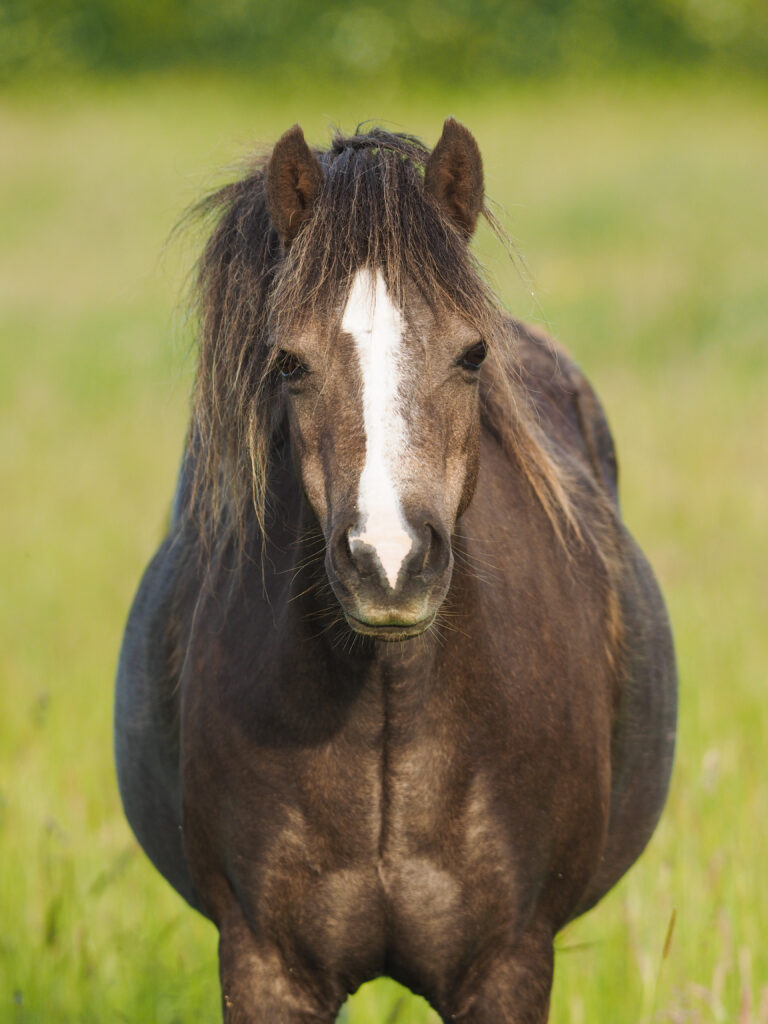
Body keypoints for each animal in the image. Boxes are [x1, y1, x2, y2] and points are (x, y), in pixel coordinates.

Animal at [115, 121, 679, 1024]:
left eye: (472, 354)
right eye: (288, 363)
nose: (390, 564)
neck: (389, 706)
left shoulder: (508, 966)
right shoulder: (265, 966)